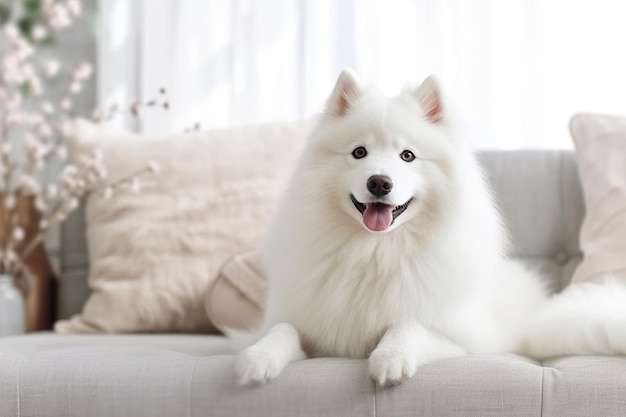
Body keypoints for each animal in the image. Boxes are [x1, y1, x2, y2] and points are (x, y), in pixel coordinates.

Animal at [233, 70, 624, 386]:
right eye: (359, 152)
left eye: (407, 156)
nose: (379, 183)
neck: (374, 251)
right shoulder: (305, 322)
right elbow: (282, 329)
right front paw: (257, 357)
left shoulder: (463, 343)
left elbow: (408, 324)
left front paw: (390, 358)